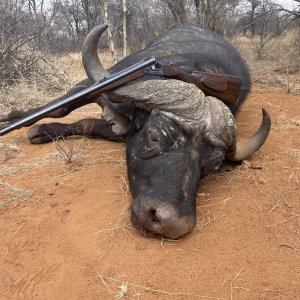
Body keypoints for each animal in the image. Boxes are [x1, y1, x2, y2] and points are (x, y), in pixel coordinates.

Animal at [0, 24, 272, 239]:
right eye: (154, 137)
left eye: (213, 165)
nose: (171, 223)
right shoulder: (100, 83)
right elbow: (62, 107)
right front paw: (17, 118)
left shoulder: (120, 127)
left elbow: (87, 123)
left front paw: (41, 129)